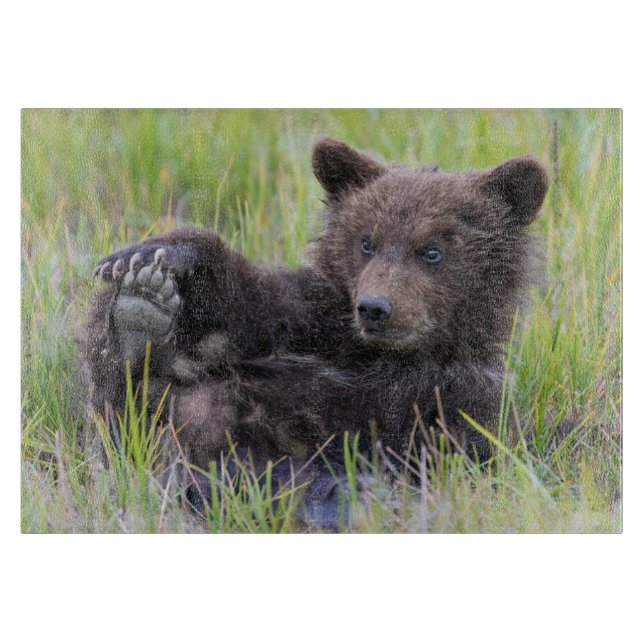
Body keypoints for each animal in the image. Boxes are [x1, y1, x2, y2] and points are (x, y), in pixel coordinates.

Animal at [85, 137, 548, 527]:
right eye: (366, 242)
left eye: (432, 250)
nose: (375, 307)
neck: (389, 355)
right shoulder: (312, 325)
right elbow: (252, 306)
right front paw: (153, 257)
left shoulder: (461, 395)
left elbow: (452, 459)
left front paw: (346, 497)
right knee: (135, 412)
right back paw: (137, 318)